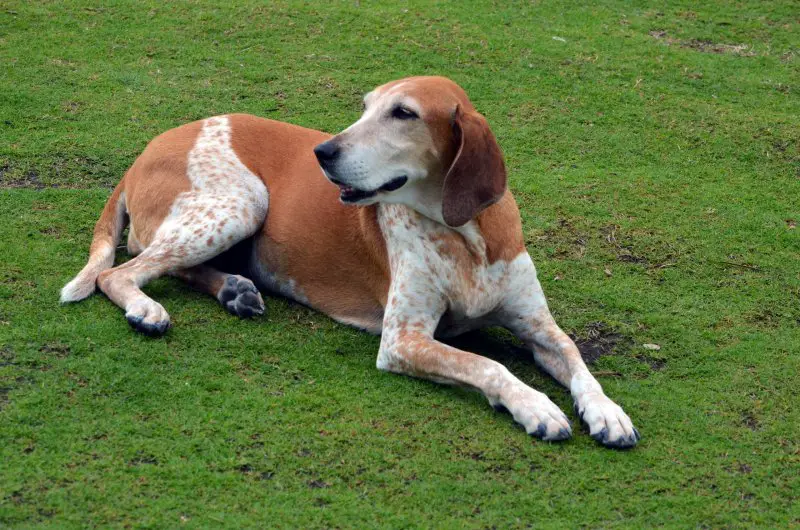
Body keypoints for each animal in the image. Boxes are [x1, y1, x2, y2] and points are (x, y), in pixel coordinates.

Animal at [59, 74, 640, 446]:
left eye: (403, 113)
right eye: (364, 107)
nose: (323, 152)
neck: (464, 234)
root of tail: (144, 151)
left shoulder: (538, 327)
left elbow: (578, 360)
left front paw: (607, 412)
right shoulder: (403, 340)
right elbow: (488, 364)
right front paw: (536, 407)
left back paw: (234, 289)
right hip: (242, 202)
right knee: (119, 272)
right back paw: (147, 309)